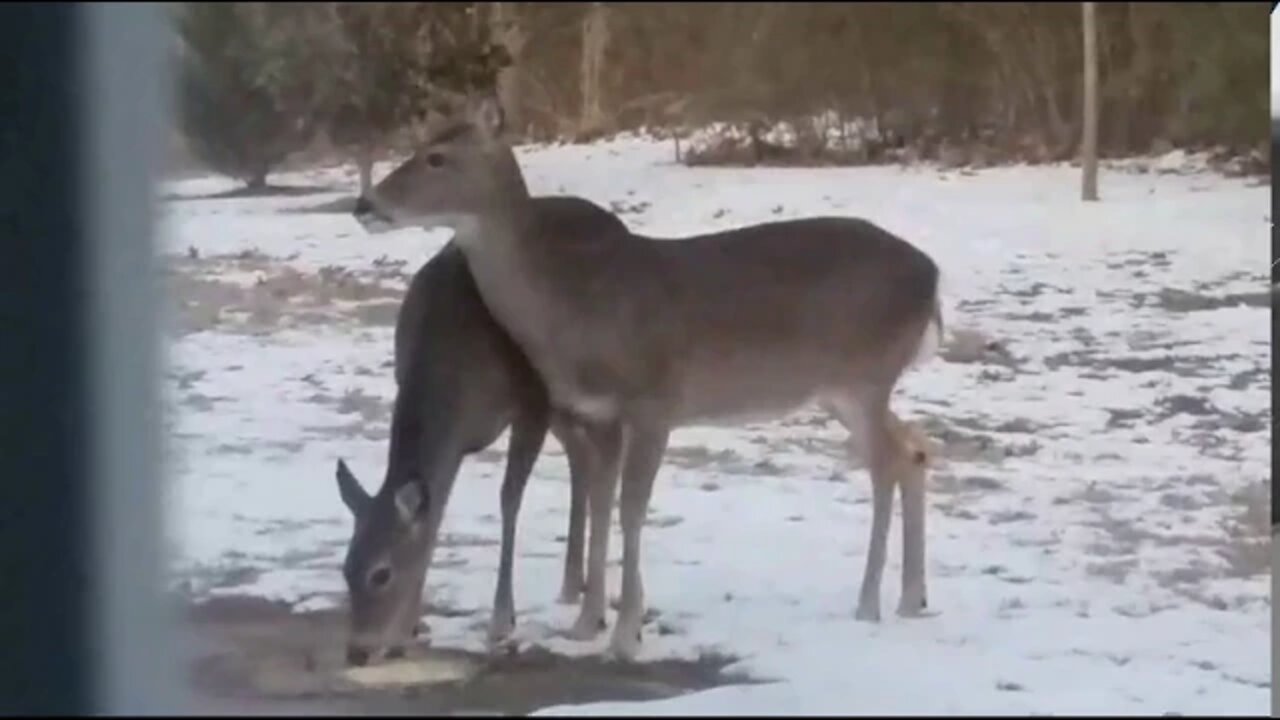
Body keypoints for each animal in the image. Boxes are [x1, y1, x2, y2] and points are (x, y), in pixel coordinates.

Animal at [335, 222, 624, 661]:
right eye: (346, 569)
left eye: (381, 574)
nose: (357, 652)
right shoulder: (454, 438)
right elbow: (435, 513)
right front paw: (411, 626)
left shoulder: (531, 403)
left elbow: (509, 500)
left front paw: (502, 620)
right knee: (581, 456)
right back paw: (573, 583)